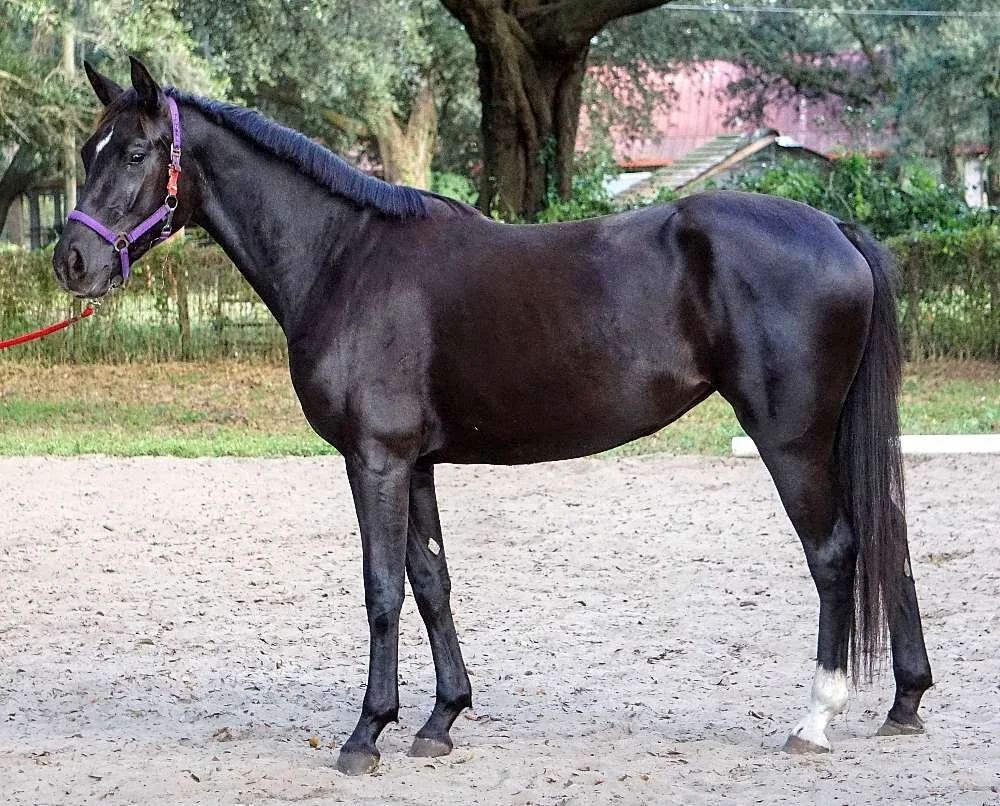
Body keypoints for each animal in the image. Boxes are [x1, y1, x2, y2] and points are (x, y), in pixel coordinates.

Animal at [52, 58, 932, 775]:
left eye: (135, 153)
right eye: (88, 151)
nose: (72, 260)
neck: (345, 257)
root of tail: (835, 228)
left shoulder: (374, 460)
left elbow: (381, 589)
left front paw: (366, 734)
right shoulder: (415, 463)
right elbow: (432, 582)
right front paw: (440, 719)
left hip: (791, 439)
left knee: (836, 552)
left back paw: (816, 719)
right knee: (888, 539)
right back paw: (906, 702)